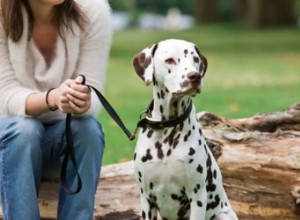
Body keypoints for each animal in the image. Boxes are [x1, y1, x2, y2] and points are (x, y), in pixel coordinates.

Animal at [132, 39, 238, 220]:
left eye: (195, 59)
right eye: (170, 60)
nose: (195, 76)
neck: (167, 128)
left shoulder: (197, 196)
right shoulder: (146, 198)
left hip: (222, 215)